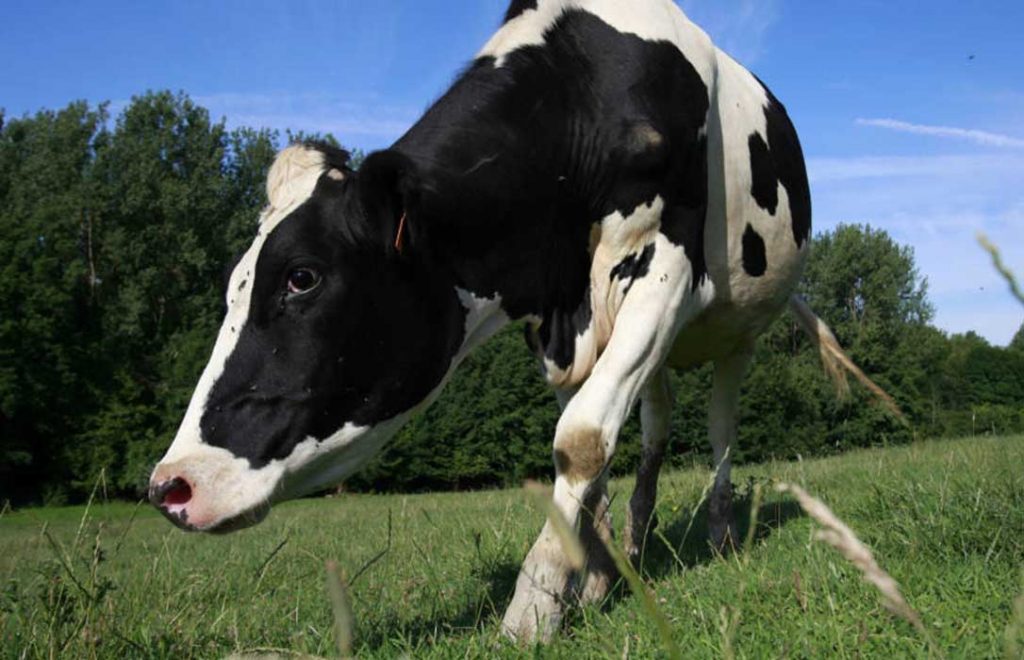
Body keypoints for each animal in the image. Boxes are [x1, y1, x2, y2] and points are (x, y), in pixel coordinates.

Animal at [149, 0, 897, 643]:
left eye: (302, 277)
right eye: (234, 284)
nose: (169, 486)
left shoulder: (669, 270)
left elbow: (584, 440)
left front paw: (534, 605)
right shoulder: (556, 324)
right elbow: (592, 443)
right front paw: (591, 576)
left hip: (738, 331)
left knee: (720, 429)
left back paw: (720, 536)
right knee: (656, 429)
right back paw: (637, 540)